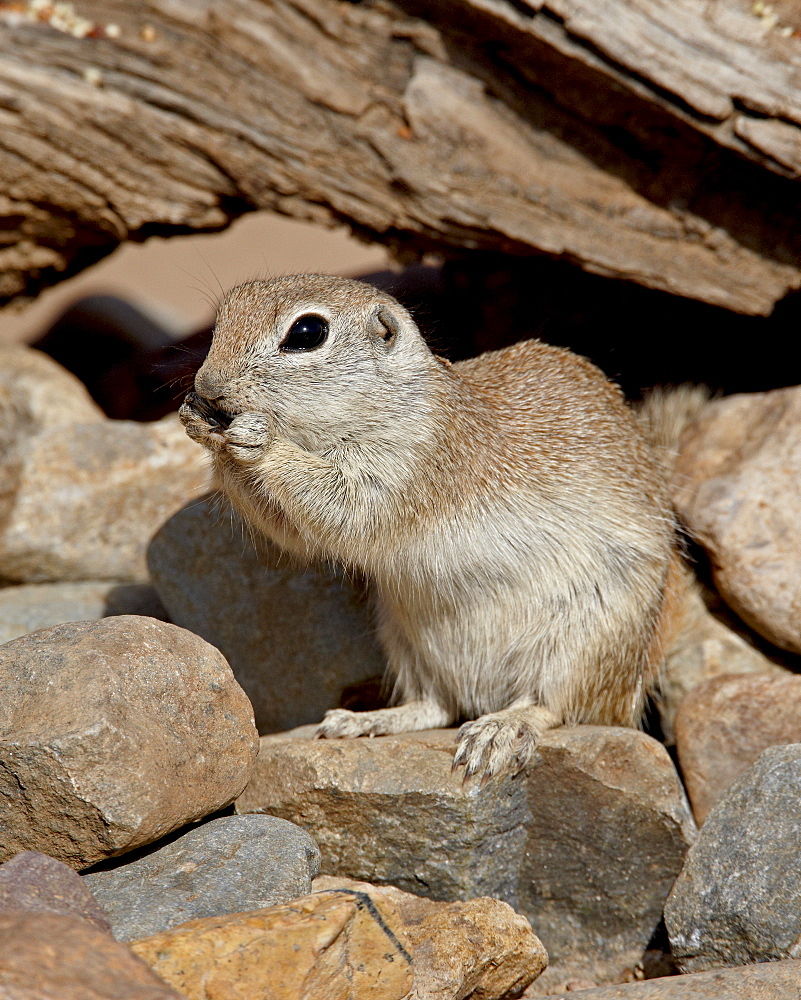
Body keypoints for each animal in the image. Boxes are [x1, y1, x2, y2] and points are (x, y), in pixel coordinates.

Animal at [178, 276, 692, 780]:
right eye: (223, 317)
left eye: (307, 333)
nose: (208, 385)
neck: (397, 397)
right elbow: (291, 528)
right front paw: (201, 425)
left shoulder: (409, 464)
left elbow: (340, 507)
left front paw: (256, 441)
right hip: (406, 642)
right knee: (437, 706)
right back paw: (368, 720)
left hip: (587, 643)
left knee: (556, 706)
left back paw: (499, 728)